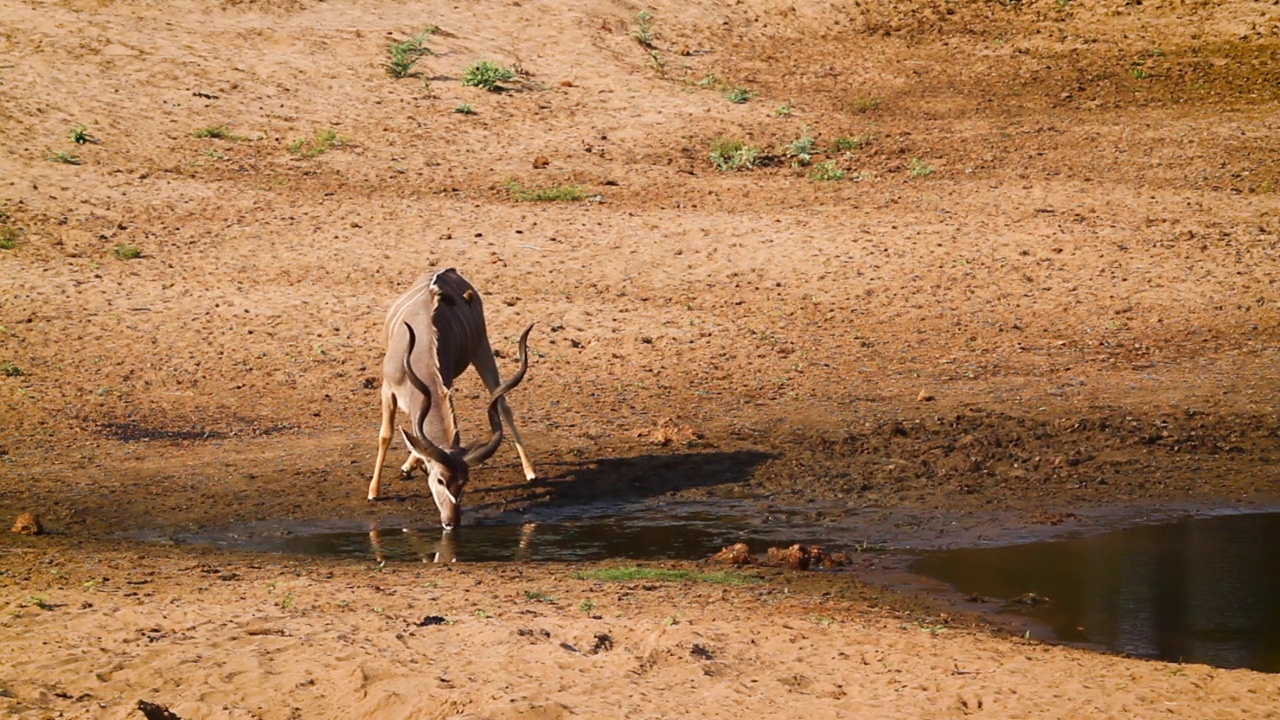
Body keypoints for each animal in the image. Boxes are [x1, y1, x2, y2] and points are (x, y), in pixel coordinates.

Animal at [368, 267, 537, 527]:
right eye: (440, 480)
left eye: (464, 482)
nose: (451, 521)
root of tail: (450, 271)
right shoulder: (387, 388)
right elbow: (386, 434)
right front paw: (374, 492)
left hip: (481, 348)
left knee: (503, 405)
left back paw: (530, 472)